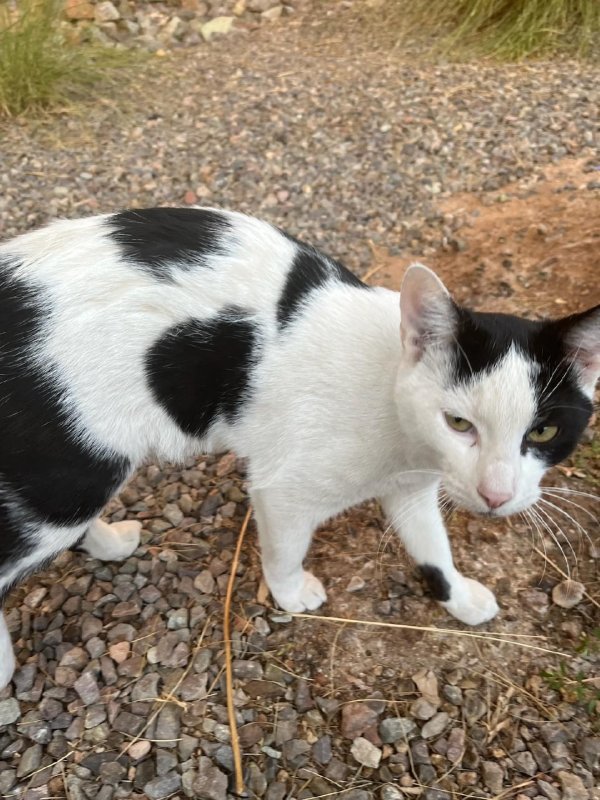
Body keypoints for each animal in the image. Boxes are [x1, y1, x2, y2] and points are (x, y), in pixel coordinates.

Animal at [1, 209, 600, 692]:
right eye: (459, 423)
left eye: (542, 433)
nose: (496, 495)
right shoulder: (283, 489)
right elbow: (286, 547)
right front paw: (290, 593)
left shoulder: (413, 486)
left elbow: (433, 545)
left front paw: (458, 596)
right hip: (68, 477)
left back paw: (108, 543)